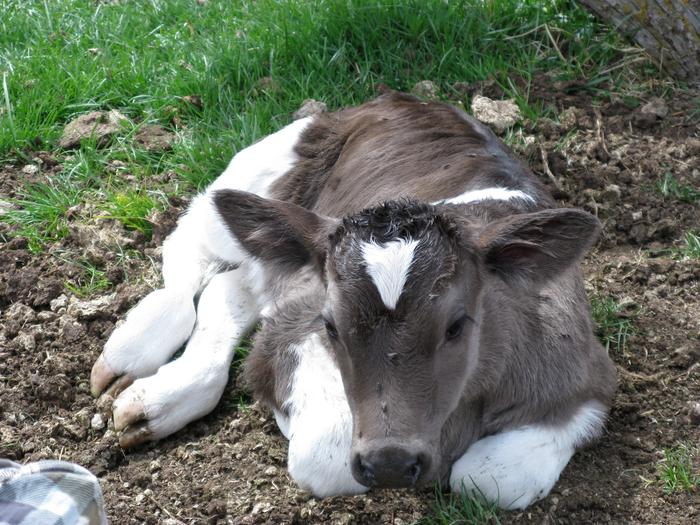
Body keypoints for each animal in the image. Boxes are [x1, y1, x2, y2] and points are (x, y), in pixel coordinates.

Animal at [90, 93, 616, 508]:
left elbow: (488, 478)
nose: (390, 464)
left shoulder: (586, 375)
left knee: (229, 289)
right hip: (262, 175)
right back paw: (137, 365)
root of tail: (403, 99)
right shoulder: (296, 330)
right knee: (186, 259)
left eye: (457, 324)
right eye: (331, 326)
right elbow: (320, 452)